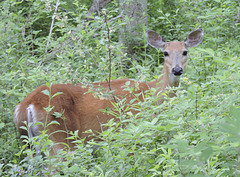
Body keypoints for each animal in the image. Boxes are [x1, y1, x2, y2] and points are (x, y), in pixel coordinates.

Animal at [14, 28, 203, 155]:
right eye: (165, 53)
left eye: (185, 52)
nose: (177, 70)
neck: (152, 93)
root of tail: (26, 105)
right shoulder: (131, 131)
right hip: (59, 138)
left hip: (29, 144)